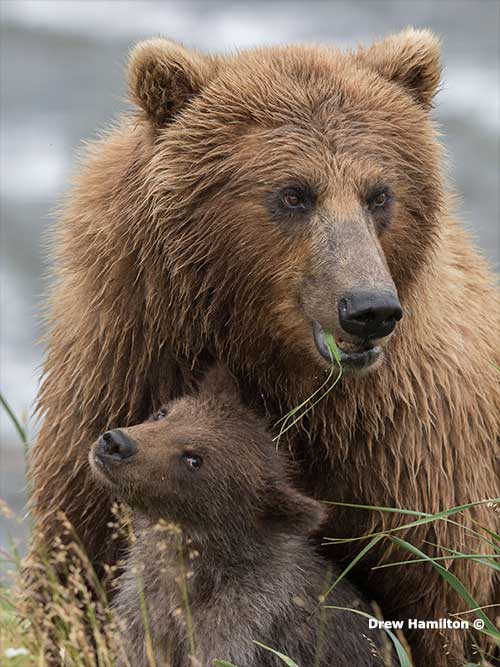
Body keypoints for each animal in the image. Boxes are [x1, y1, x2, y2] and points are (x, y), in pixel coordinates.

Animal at [29, 28, 498, 664]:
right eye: (294, 193)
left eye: (380, 194)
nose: (369, 309)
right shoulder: (126, 367)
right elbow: (79, 561)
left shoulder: (408, 454)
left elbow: (442, 601)